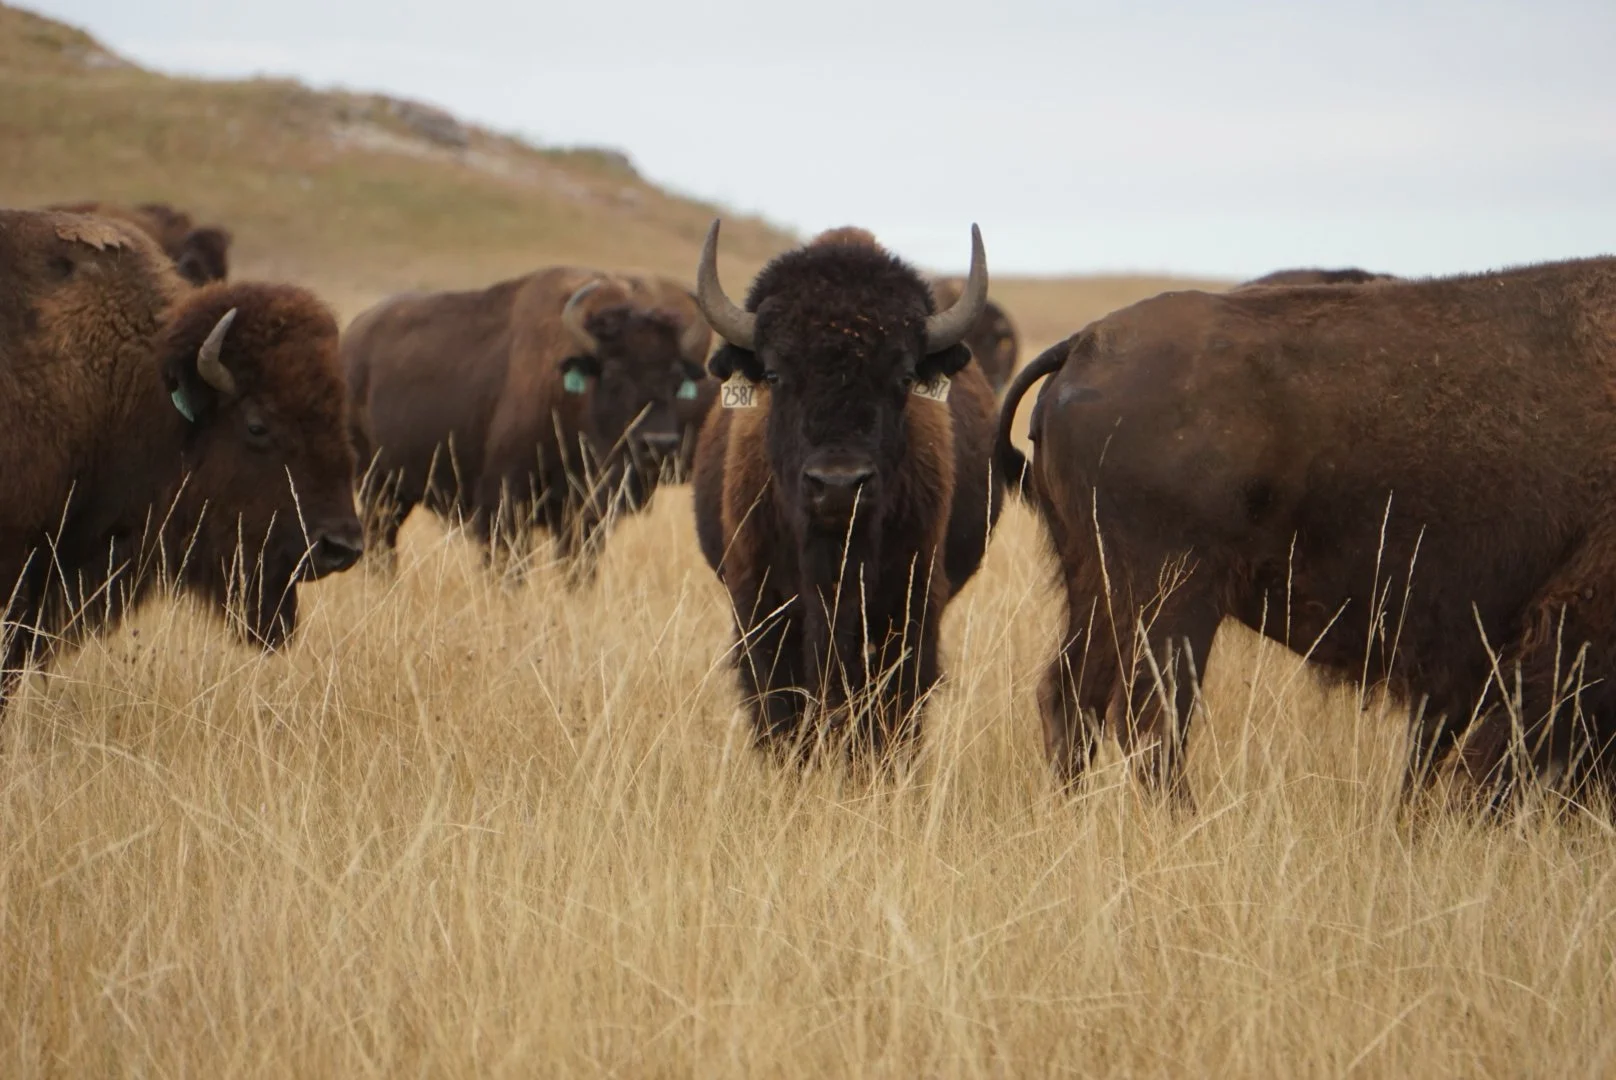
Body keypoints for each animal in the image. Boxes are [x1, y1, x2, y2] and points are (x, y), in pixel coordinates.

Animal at [343, 269, 711, 576]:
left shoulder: (585, 519)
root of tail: (352, 338)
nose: (657, 443)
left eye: (677, 379)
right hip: (376, 486)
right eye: (614, 374)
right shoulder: (504, 509)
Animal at [692, 221, 1003, 761]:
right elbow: (782, 716)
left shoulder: (910, 610)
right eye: (775, 373)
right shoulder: (760, 610)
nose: (838, 484)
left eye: (904, 376)